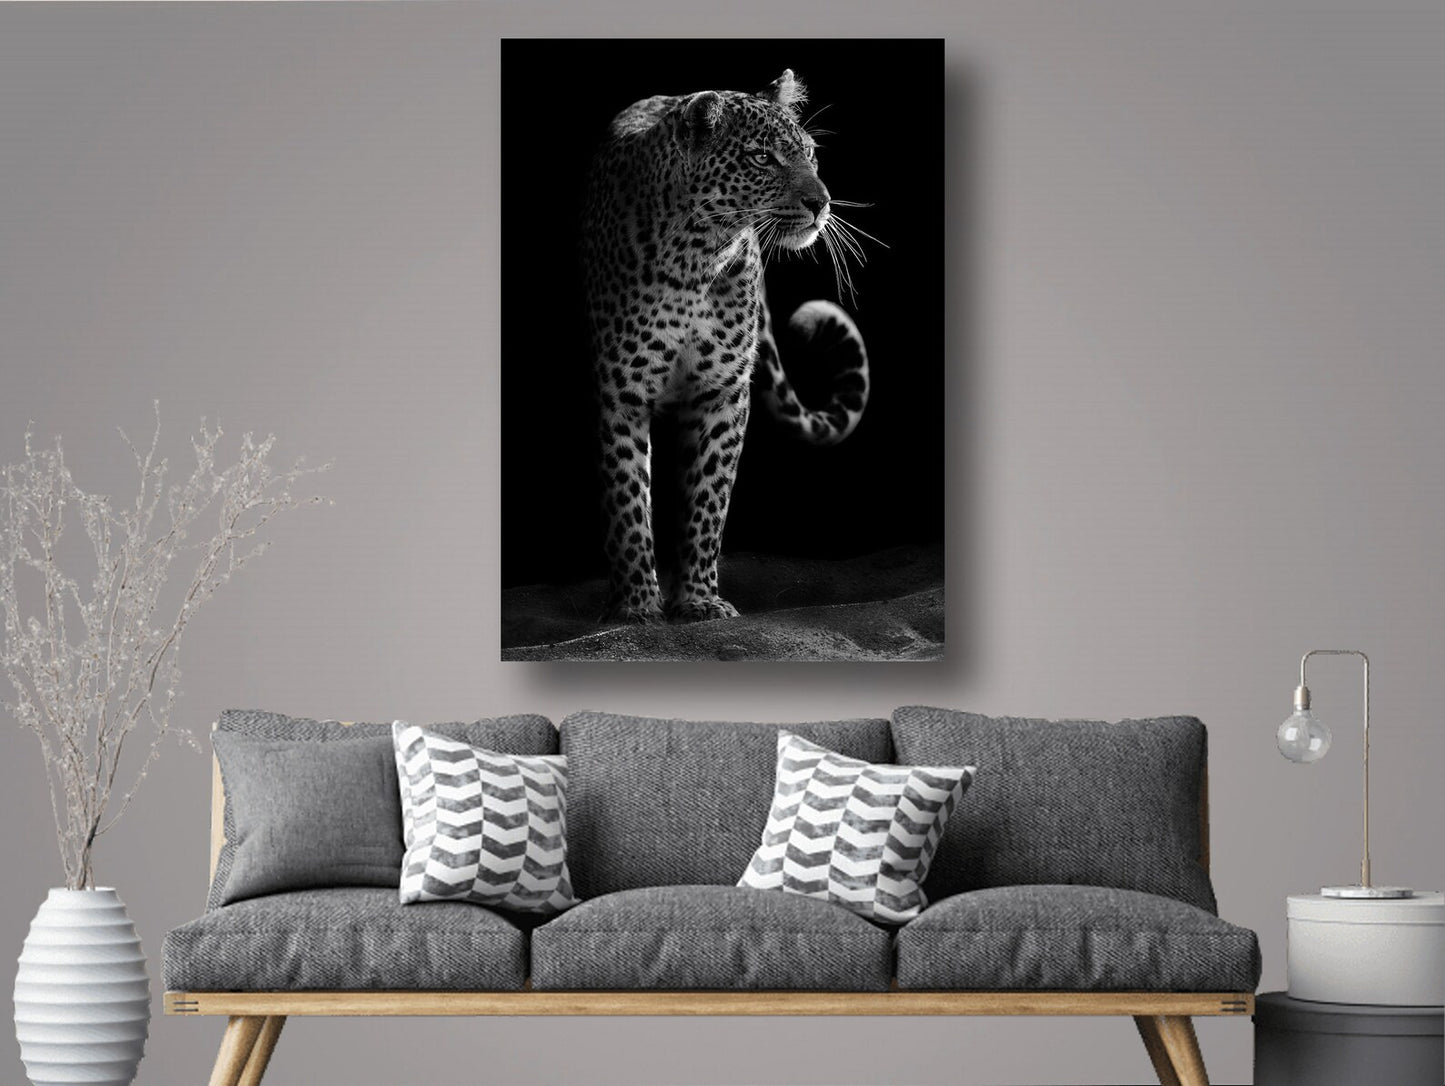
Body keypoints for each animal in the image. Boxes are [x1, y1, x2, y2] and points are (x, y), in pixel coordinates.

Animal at [582, 69, 871, 625]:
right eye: (762, 158)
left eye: (810, 154)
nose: (821, 203)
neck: (696, 255)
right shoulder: (621, 391)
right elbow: (627, 499)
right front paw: (636, 605)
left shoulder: (722, 392)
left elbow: (708, 499)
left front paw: (698, 599)